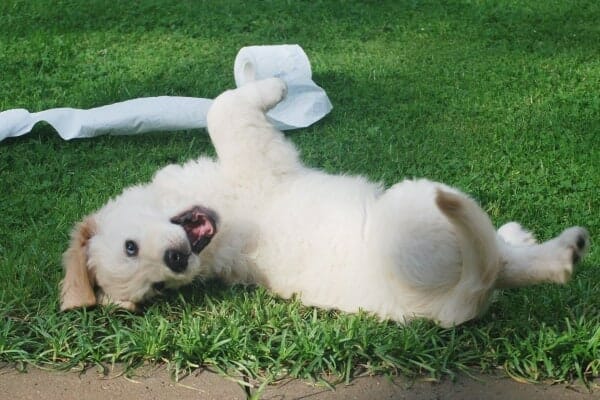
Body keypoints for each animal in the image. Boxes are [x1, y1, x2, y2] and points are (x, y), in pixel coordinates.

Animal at [62, 77, 592, 324]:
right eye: (157, 287)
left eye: (131, 247)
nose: (175, 264)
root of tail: (451, 306)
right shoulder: (255, 154)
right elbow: (223, 108)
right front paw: (275, 87)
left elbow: (223, 105)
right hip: (419, 208)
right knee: (501, 261)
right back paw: (563, 252)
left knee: (503, 257)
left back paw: (524, 236)